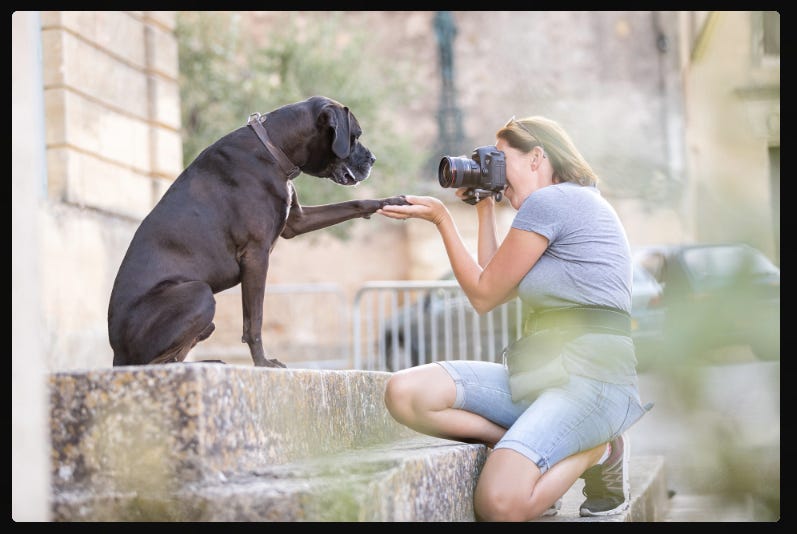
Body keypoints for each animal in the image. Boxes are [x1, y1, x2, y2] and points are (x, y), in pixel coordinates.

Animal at [109, 97, 408, 368]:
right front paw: (263, 363)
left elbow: (355, 204)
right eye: (355, 136)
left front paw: (393, 202)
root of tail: (116, 354)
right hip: (199, 293)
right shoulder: (256, 254)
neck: (273, 149)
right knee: (151, 363)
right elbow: (255, 320)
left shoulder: (297, 222)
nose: (373, 159)